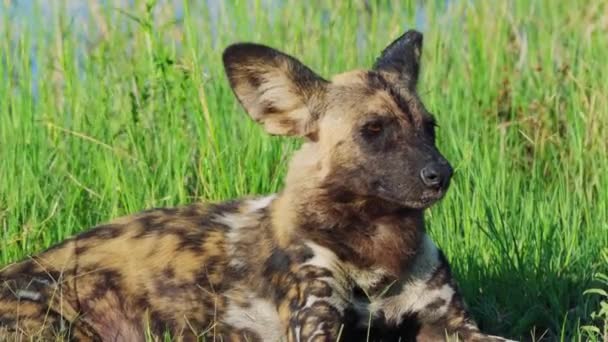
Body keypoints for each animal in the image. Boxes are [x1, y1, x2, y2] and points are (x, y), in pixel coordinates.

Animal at [0, 30, 516, 340]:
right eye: (373, 130)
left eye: (429, 127)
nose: (440, 173)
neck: (376, 249)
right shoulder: (316, 327)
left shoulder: (453, 324)